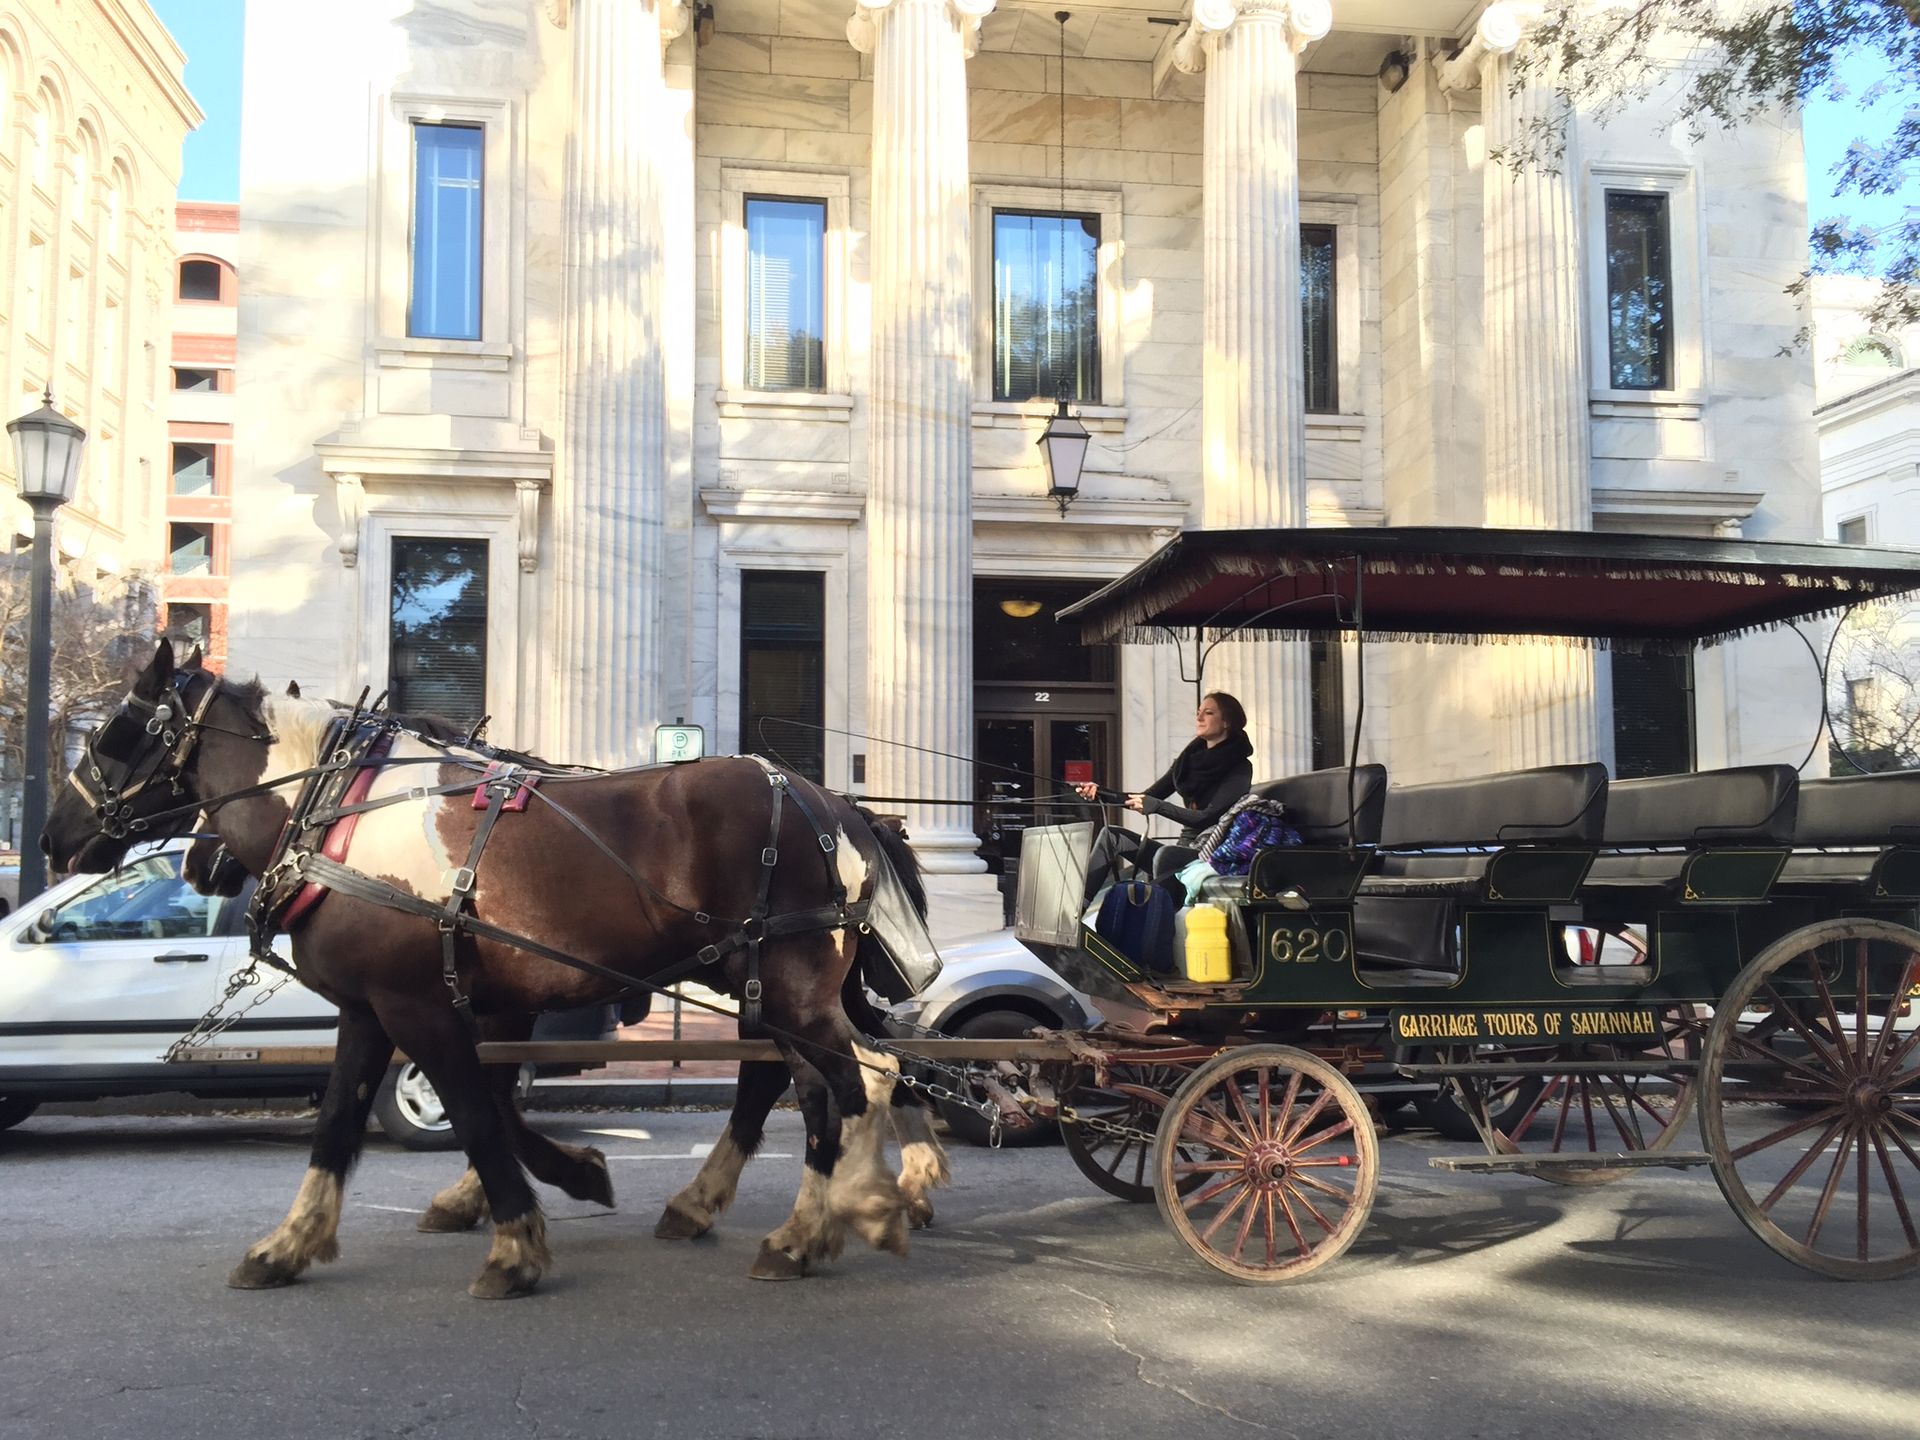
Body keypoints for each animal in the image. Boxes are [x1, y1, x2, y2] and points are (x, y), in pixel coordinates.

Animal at [41, 641, 940, 1297]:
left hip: (788, 983)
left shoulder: (422, 1005)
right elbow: (343, 1125)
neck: (337, 813)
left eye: (116, 736)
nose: (54, 836)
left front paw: (520, 1237)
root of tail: (832, 802)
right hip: (762, 981)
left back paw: (847, 1209)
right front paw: (288, 1244)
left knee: (855, 1080)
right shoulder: (374, 1009)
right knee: (815, 1082)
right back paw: (786, 1218)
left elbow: (478, 1112)